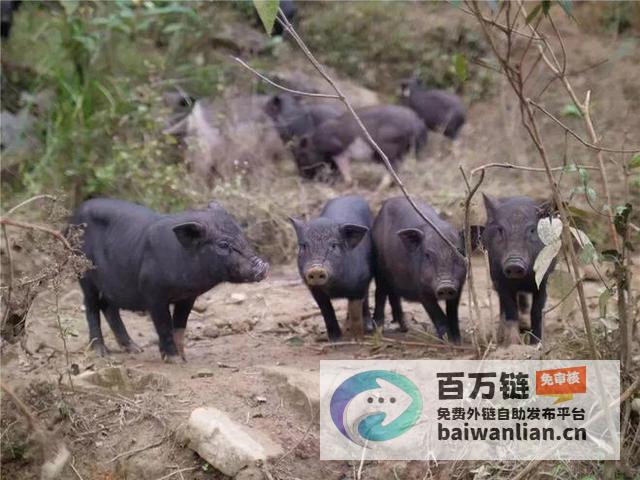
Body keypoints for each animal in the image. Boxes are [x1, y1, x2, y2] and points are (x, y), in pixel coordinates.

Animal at [69, 198, 268, 360]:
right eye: (223, 244)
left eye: (242, 234)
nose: (263, 266)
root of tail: (74, 215)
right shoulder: (153, 294)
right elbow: (164, 324)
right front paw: (174, 359)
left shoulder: (188, 296)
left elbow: (179, 325)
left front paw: (183, 358)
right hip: (84, 274)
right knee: (91, 307)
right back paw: (101, 353)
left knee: (108, 306)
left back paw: (135, 349)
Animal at [288, 196, 372, 342]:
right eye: (303, 246)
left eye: (333, 246)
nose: (316, 269)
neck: (336, 288)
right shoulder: (314, 289)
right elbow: (326, 310)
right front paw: (335, 339)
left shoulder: (361, 282)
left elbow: (356, 310)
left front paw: (357, 339)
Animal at [292, 105, 428, 184]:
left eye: (301, 156)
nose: (301, 177)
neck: (316, 144)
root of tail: (416, 121)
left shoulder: (338, 150)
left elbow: (343, 168)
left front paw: (347, 182)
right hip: (401, 150)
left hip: (389, 148)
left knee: (394, 167)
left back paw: (380, 187)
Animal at [370, 197, 470, 344]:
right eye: (428, 255)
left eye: (459, 252)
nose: (445, 286)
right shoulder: (420, 288)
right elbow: (437, 314)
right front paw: (447, 341)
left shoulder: (459, 286)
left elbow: (452, 313)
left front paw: (457, 341)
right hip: (379, 267)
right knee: (380, 293)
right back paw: (378, 330)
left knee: (394, 296)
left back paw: (404, 327)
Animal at [482, 195, 552, 344]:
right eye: (500, 230)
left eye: (532, 230)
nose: (514, 264)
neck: (521, 281)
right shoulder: (499, 279)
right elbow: (510, 309)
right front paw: (513, 343)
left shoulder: (543, 279)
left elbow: (537, 310)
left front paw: (536, 343)